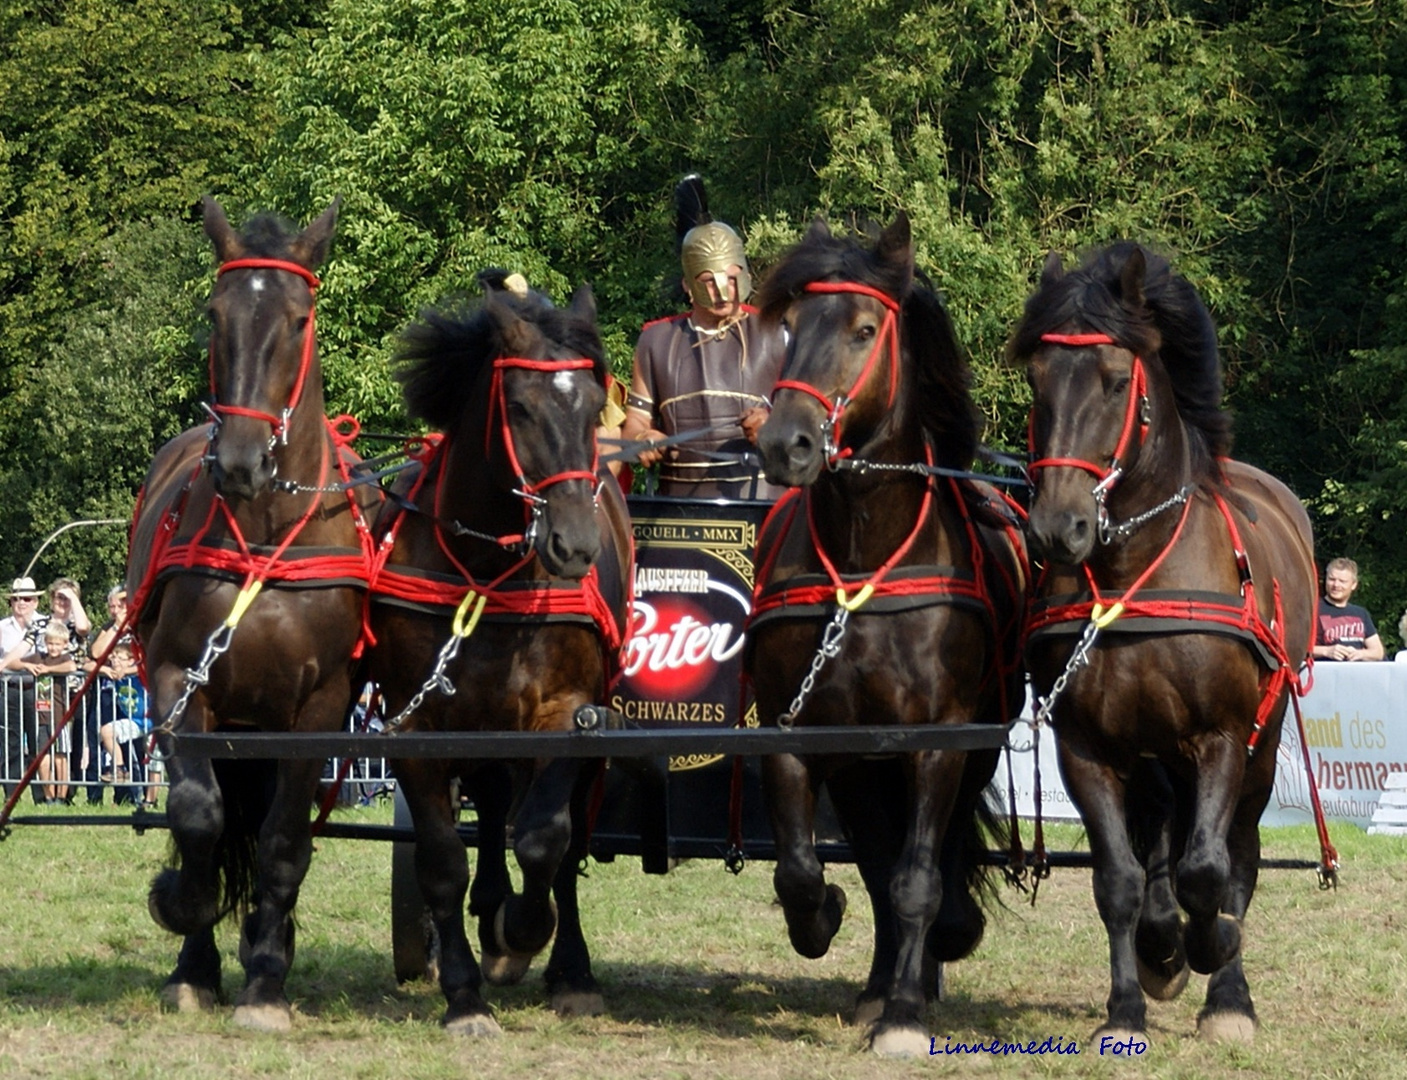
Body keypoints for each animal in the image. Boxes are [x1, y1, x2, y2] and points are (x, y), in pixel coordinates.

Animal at [127, 198, 377, 1035]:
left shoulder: (322, 707)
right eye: (216, 312)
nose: (240, 459)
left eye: (299, 319)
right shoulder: (179, 680)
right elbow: (198, 815)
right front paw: (185, 917)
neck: (267, 532)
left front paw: (267, 976)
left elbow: (283, 840)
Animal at [365, 274, 630, 1035]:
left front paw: (524, 933)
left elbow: (545, 841)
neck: (484, 570)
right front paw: (464, 992)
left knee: (560, 845)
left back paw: (564, 965)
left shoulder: (566, 716)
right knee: (485, 815)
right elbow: (443, 860)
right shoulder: (418, 728)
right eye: (519, 407)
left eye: (594, 405)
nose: (574, 544)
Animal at [748, 215, 1024, 1057]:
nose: (786, 443)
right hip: (860, 768)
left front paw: (905, 1010)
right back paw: (877, 981)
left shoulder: (939, 744)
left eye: (865, 329)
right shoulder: (800, 736)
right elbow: (803, 870)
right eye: (789, 326)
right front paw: (824, 924)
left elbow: (918, 878)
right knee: (874, 859)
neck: (865, 560)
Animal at [1013, 240, 1316, 1040]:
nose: (1056, 528)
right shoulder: (1087, 747)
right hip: (1150, 754)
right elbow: (1119, 880)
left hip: (1259, 746)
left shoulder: (1221, 738)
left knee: (1235, 854)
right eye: (1036, 379)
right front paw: (1133, 994)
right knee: (1154, 847)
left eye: (1117, 380)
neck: (1136, 575)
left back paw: (1225, 988)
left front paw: (1213, 953)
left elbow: (1209, 872)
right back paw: (1161, 947)